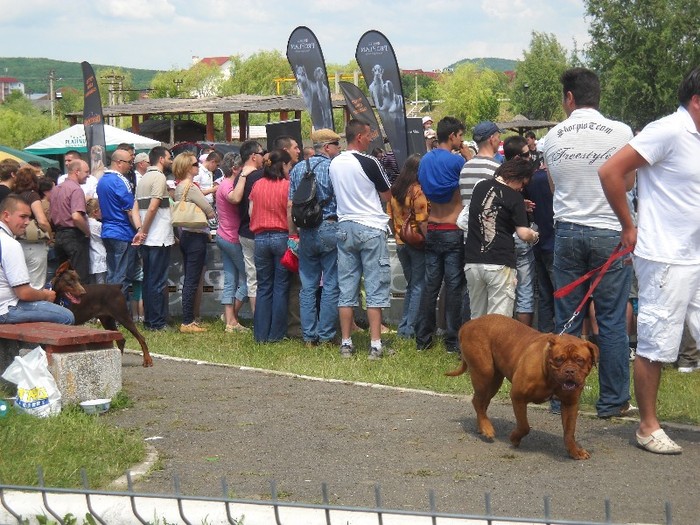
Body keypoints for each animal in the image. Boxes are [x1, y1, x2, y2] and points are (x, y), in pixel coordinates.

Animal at [448, 314, 596, 456]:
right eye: (559, 359)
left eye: (580, 360)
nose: (569, 370)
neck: (549, 375)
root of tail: (468, 324)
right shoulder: (518, 396)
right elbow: (524, 426)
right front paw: (514, 438)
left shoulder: (570, 403)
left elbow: (569, 431)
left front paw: (575, 451)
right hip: (484, 373)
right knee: (478, 401)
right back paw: (487, 428)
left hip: (494, 380)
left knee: (483, 402)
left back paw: (482, 426)